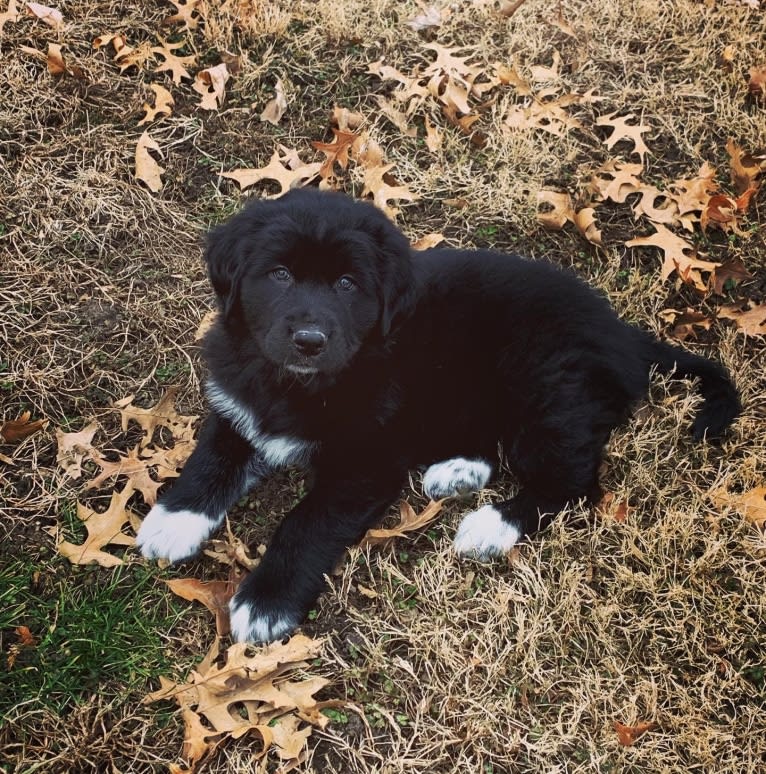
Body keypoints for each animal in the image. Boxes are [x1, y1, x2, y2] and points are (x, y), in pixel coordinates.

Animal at [135, 188, 740, 644]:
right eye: (279, 274)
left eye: (348, 284)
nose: (309, 340)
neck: (297, 384)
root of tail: (625, 335)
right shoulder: (240, 405)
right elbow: (212, 458)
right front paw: (173, 520)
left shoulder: (365, 461)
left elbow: (306, 522)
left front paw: (267, 600)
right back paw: (457, 472)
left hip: (546, 392)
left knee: (575, 483)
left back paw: (491, 526)